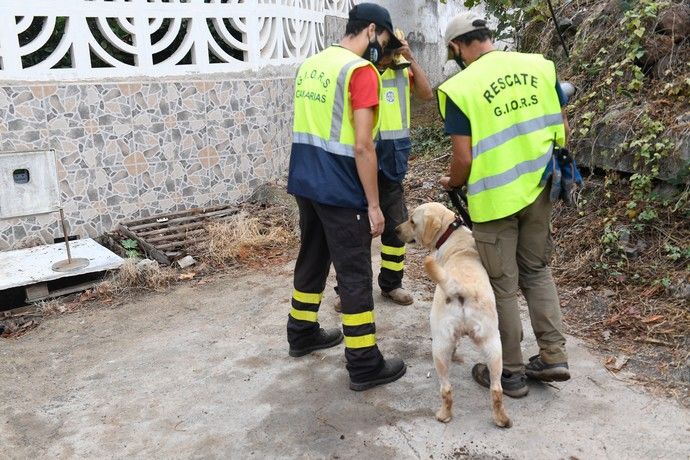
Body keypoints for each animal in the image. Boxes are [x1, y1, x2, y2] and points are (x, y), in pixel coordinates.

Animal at [392, 202, 510, 428]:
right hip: (493, 345)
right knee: (497, 389)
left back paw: (443, 414)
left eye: (412, 221)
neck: (453, 234)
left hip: (439, 345)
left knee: (446, 388)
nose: (395, 230)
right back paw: (502, 418)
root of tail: (461, 288)